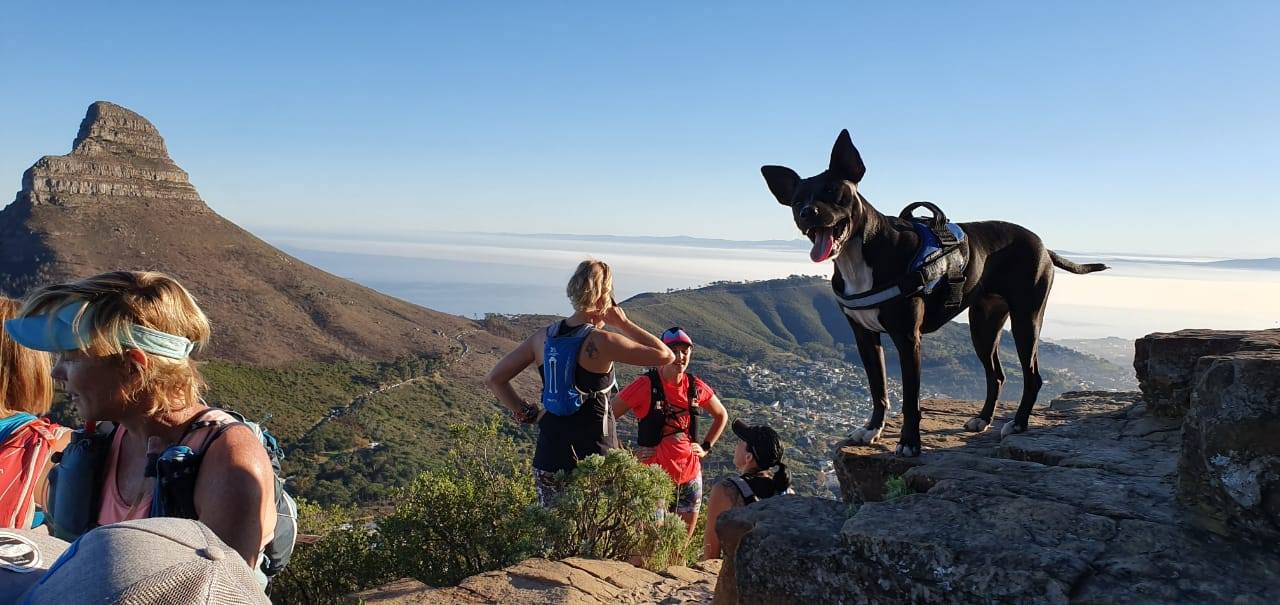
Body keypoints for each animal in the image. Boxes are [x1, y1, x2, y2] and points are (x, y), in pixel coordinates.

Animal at [757, 131, 1111, 452]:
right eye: (797, 201)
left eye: (833, 190)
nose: (808, 212)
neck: (858, 257)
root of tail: (1043, 245)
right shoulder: (864, 338)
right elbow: (878, 389)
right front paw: (872, 429)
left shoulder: (908, 339)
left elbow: (910, 399)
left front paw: (909, 442)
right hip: (983, 327)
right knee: (996, 375)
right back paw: (983, 419)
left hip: (1026, 319)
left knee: (1032, 376)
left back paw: (1019, 423)